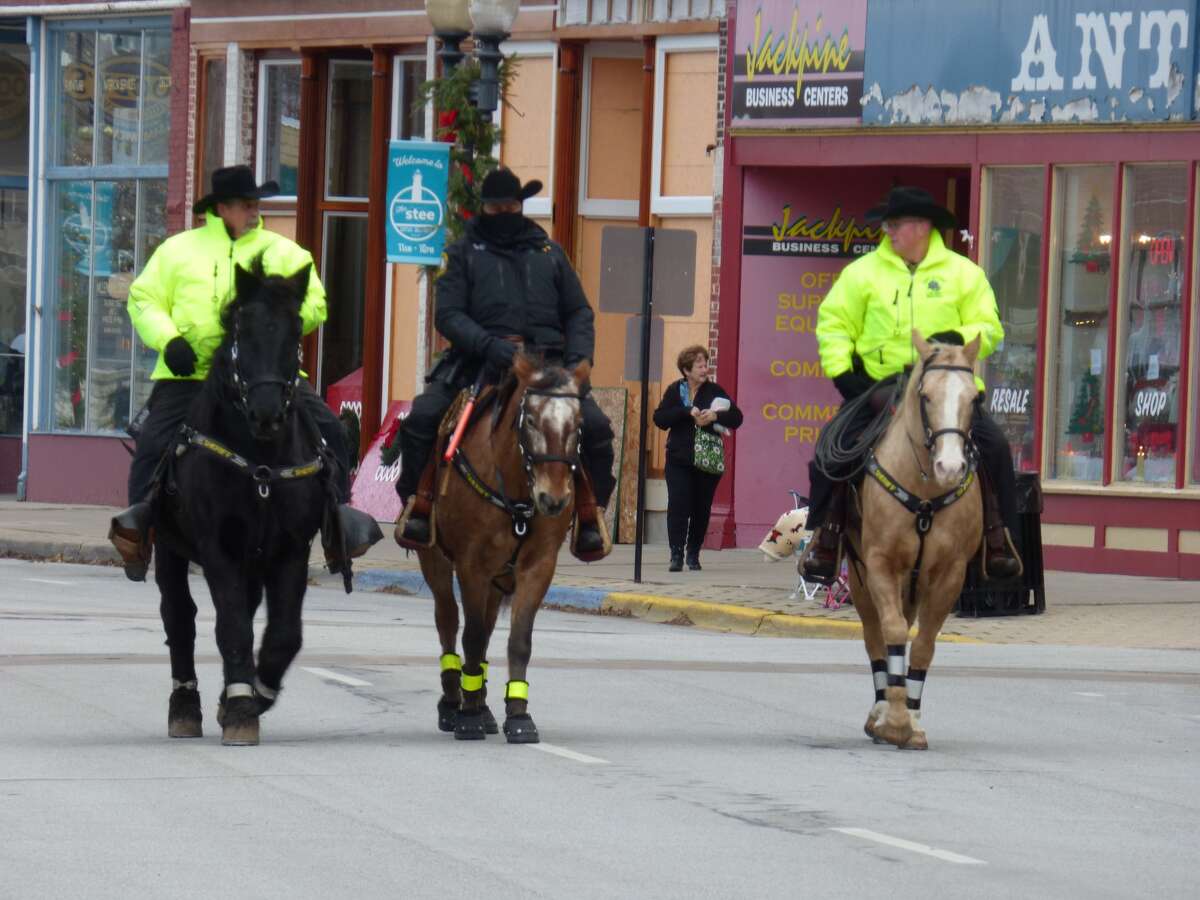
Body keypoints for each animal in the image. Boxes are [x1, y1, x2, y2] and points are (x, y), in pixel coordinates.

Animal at [152, 259, 338, 748]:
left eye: (294, 332)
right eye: (241, 331)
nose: (267, 413)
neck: (262, 461)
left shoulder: (292, 551)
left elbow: (284, 634)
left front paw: (253, 694)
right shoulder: (219, 550)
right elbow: (231, 627)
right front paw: (238, 708)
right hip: (169, 550)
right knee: (179, 617)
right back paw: (185, 706)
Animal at [405, 355, 588, 744]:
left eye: (578, 424)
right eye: (530, 420)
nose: (553, 498)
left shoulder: (538, 565)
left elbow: (518, 640)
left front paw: (518, 714)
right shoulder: (471, 564)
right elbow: (471, 637)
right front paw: (468, 716)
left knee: (487, 627)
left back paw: (484, 705)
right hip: (436, 560)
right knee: (448, 620)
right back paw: (453, 702)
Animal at [844, 331, 984, 753]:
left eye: (975, 398)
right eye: (926, 395)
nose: (950, 467)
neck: (923, 490)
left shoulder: (949, 573)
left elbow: (922, 644)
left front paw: (913, 721)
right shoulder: (879, 563)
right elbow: (891, 633)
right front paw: (894, 721)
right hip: (860, 577)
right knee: (874, 636)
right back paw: (878, 711)